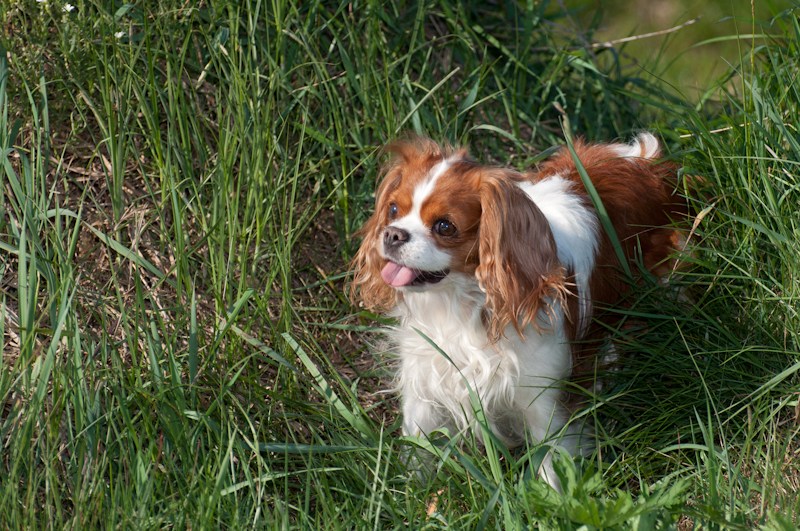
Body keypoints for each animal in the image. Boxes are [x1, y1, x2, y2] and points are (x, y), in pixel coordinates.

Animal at [350, 133, 685, 487]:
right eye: (393, 209)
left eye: (444, 226)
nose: (393, 234)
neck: (462, 302)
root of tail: (642, 157)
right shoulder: (426, 369)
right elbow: (418, 437)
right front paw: (411, 489)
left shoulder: (542, 396)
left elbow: (550, 454)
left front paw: (552, 495)